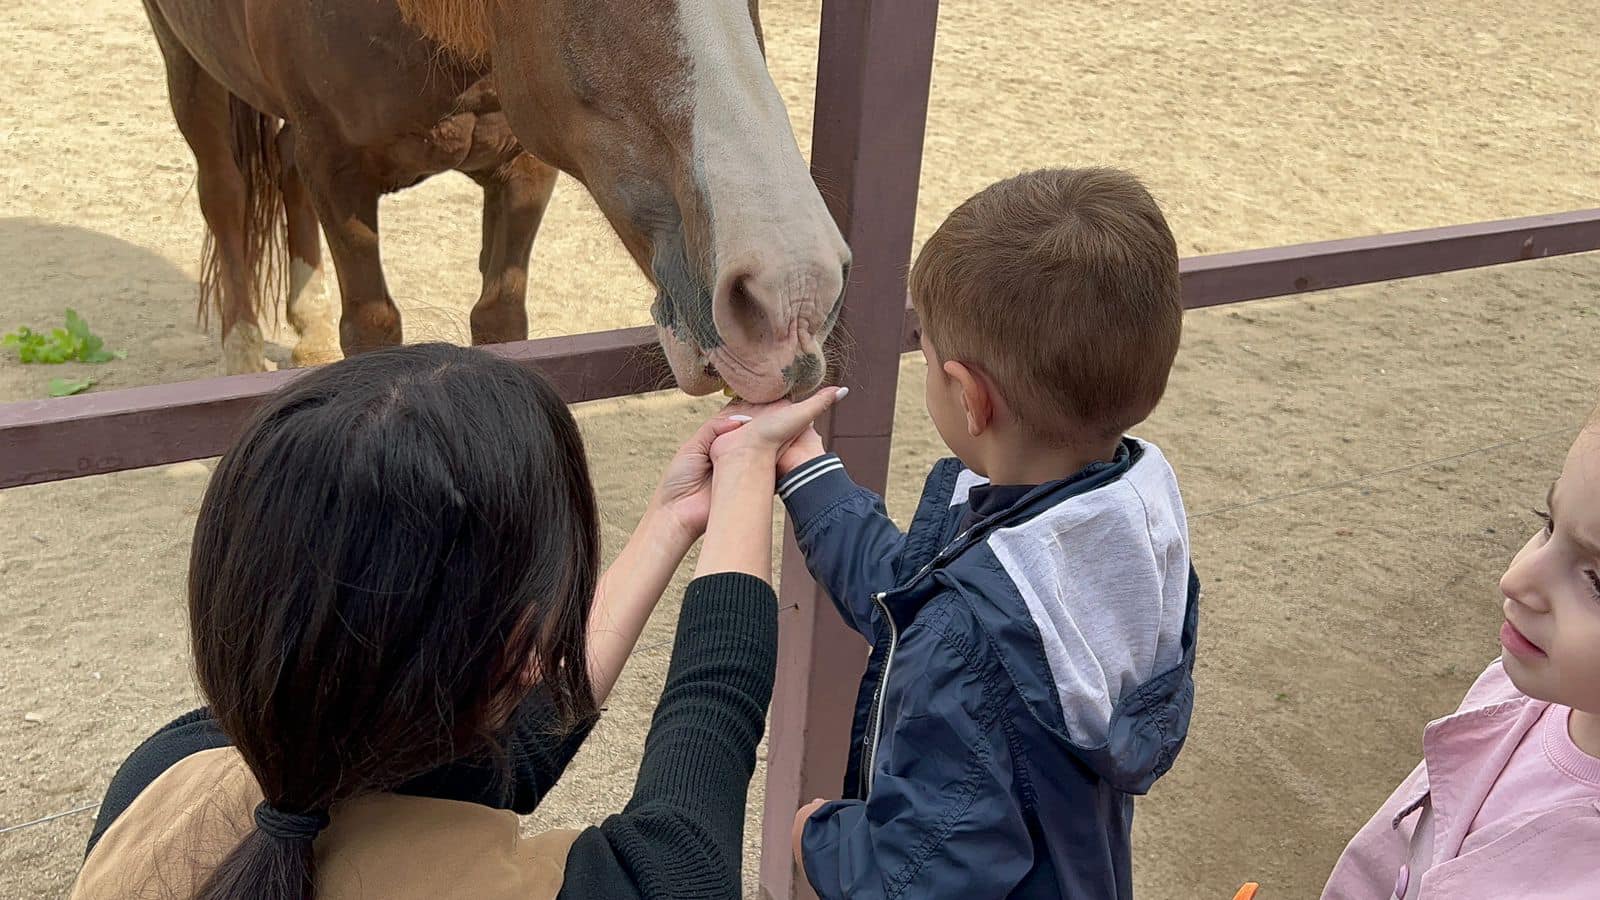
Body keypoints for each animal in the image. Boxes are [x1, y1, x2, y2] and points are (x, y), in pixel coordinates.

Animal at [140, 0, 851, 398]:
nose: (793, 294)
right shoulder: (335, 170)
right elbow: (373, 329)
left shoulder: (523, 168)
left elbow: (500, 321)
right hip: (187, 64)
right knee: (224, 194)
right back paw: (241, 348)